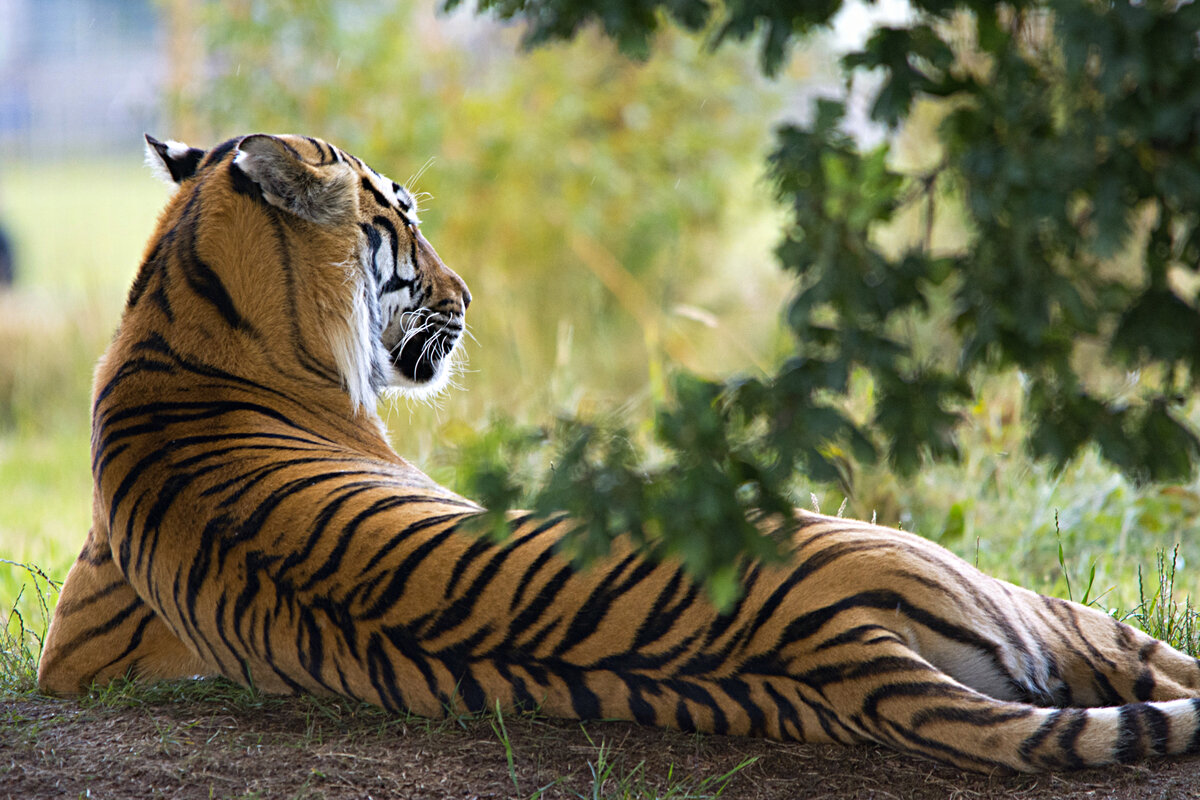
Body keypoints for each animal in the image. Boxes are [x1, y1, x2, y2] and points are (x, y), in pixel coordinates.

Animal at [37, 133, 1200, 777]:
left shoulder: (74, 652)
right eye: (400, 221)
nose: (469, 296)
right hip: (995, 586)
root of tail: (837, 651)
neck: (179, 306)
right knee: (1155, 659)